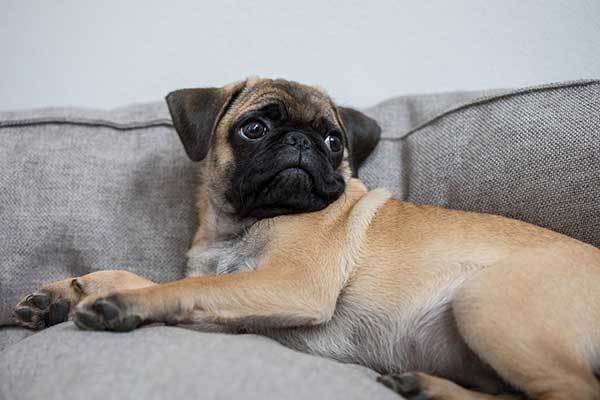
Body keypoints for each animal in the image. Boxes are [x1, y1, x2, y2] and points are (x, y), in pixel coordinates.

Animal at [12, 76, 600, 398]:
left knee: (571, 392)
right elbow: (148, 277)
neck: (242, 226)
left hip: (485, 299)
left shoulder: (287, 284)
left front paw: (118, 303)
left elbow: (180, 289)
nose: (300, 141)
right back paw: (426, 386)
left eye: (333, 139)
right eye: (254, 129)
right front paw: (64, 292)